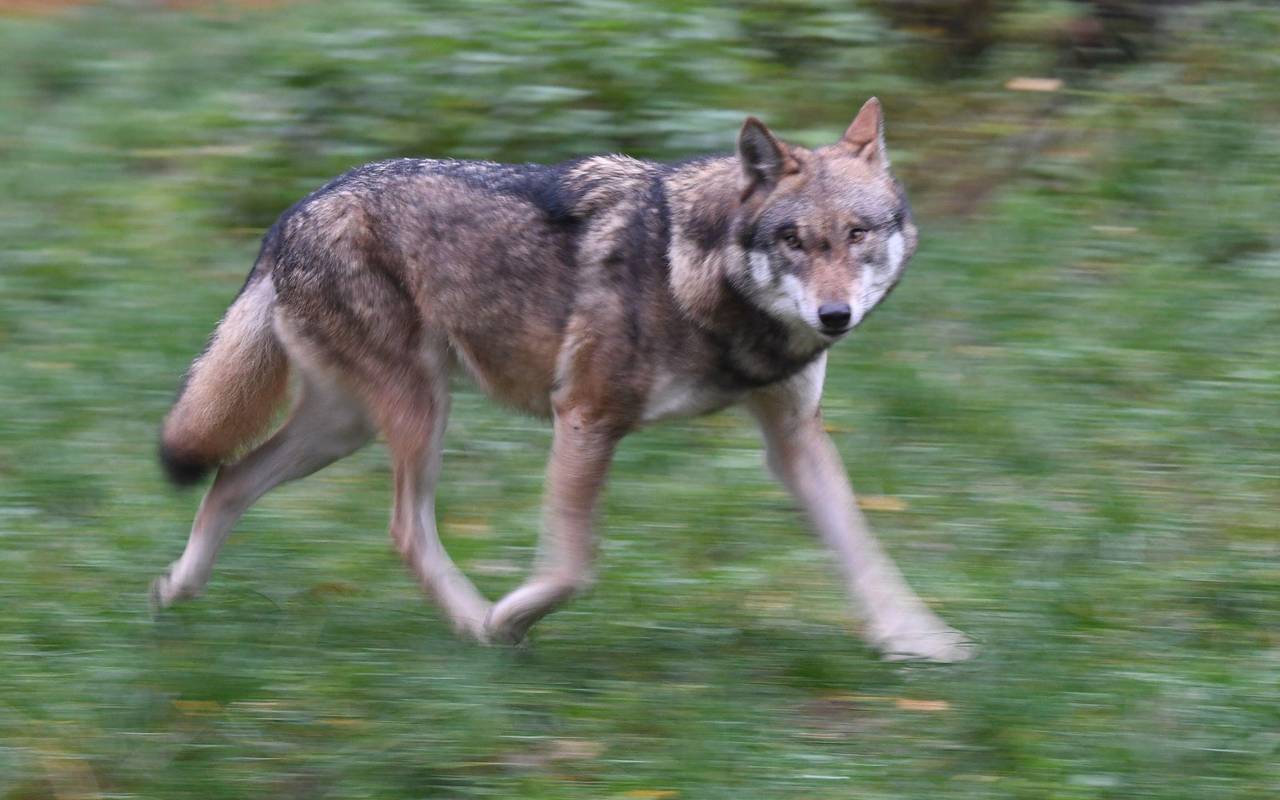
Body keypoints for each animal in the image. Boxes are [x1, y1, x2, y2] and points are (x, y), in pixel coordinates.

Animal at [154, 98, 971, 661]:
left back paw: (176, 590)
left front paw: (920, 642)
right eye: (795, 240)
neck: (701, 278)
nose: (835, 316)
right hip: (416, 413)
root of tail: (289, 215)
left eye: (857, 234)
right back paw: (475, 625)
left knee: (231, 477)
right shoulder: (584, 416)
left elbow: (864, 551)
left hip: (346, 427)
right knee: (402, 530)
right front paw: (509, 616)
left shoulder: (794, 439)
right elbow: (574, 566)